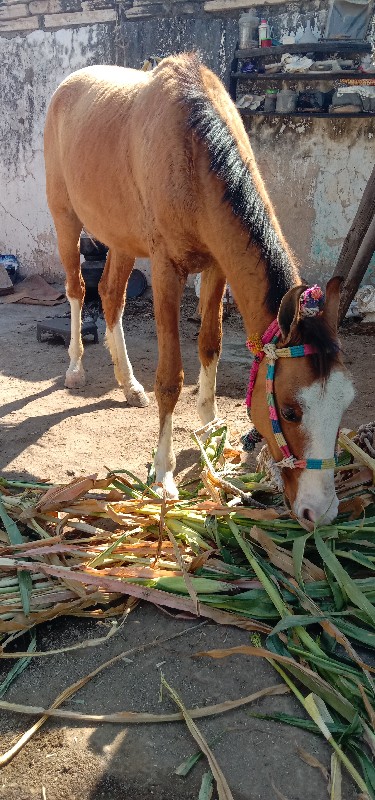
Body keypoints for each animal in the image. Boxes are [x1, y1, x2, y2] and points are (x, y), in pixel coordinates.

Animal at [44, 53, 356, 520]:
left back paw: (128, 384)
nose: (320, 512)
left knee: (112, 298)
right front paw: (164, 473)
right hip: (66, 219)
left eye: (344, 404)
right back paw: (76, 369)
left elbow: (211, 344)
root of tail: (68, 85)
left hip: (121, 239)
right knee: (79, 291)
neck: (193, 148)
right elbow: (171, 377)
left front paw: (211, 429)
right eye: (289, 410)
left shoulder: (216, 266)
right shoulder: (166, 270)